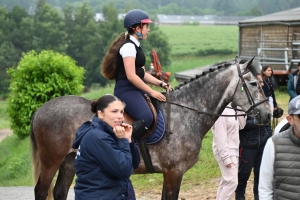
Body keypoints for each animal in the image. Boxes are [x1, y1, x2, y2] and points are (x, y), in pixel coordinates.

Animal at [29, 57, 270, 198]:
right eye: (253, 84)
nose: (268, 113)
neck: (187, 112)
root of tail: (40, 110)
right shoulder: (174, 173)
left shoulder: (170, 174)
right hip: (51, 161)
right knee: (41, 190)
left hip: (69, 162)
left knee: (59, 191)